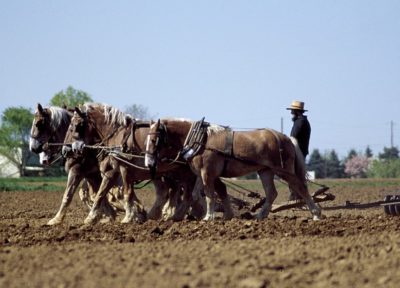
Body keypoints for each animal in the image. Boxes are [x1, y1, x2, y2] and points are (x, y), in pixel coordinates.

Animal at [63, 103, 205, 225]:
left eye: (74, 125)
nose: (67, 150)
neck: (118, 134)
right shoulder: (113, 171)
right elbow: (101, 193)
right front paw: (92, 218)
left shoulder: (125, 168)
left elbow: (126, 193)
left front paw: (129, 217)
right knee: (182, 193)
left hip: (183, 172)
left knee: (189, 194)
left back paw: (180, 215)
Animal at [145, 118, 324, 220]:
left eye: (154, 140)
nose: (148, 162)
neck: (201, 141)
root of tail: (286, 138)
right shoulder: (203, 174)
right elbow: (202, 194)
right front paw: (216, 215)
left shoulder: (207, 173)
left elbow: (210, 194)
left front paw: (208, 216)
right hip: (265, 171)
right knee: (272, 193)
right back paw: (260, 215)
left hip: (283, 170)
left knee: (300, 187)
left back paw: (316, 214)